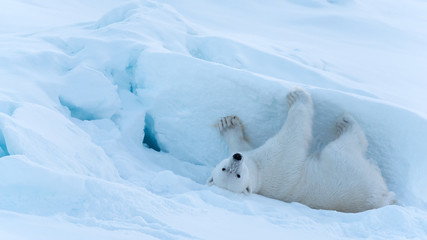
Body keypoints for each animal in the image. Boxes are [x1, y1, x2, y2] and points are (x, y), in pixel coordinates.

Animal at [209, 87, 396, 212]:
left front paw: (227, 124)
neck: (258, 175)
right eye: (237, 175)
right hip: (347, 167)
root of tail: (383, 198)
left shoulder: (254, 158)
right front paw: (298, 96)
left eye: (224, 167)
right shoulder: (277, 160)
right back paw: (345, 123)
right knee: (344, 146)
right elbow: (295, 136)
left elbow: (242, 144)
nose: (237, 158)